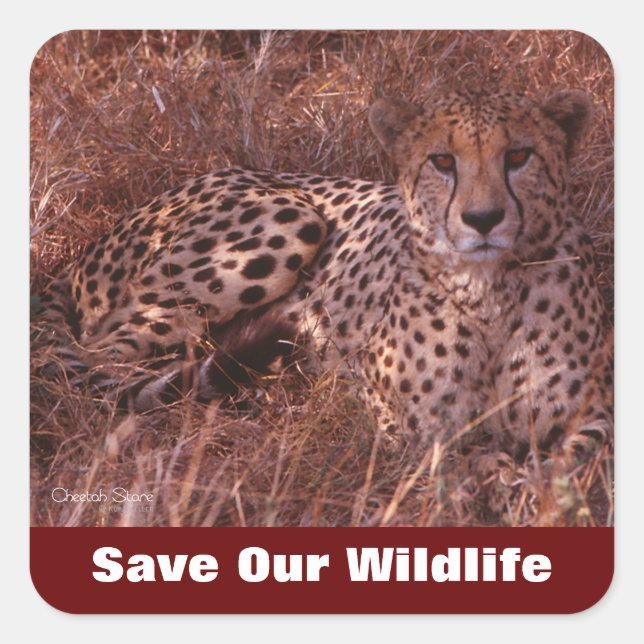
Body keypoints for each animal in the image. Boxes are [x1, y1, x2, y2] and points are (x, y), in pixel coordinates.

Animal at [34, 87, 613, 453]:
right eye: (442, 161)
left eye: (519, 155)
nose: (483, 219)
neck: (489, 290)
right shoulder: (406, 425)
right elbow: (467, 460)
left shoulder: (594, 415)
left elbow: (573, 462)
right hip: (289, 220)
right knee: (98, 360)